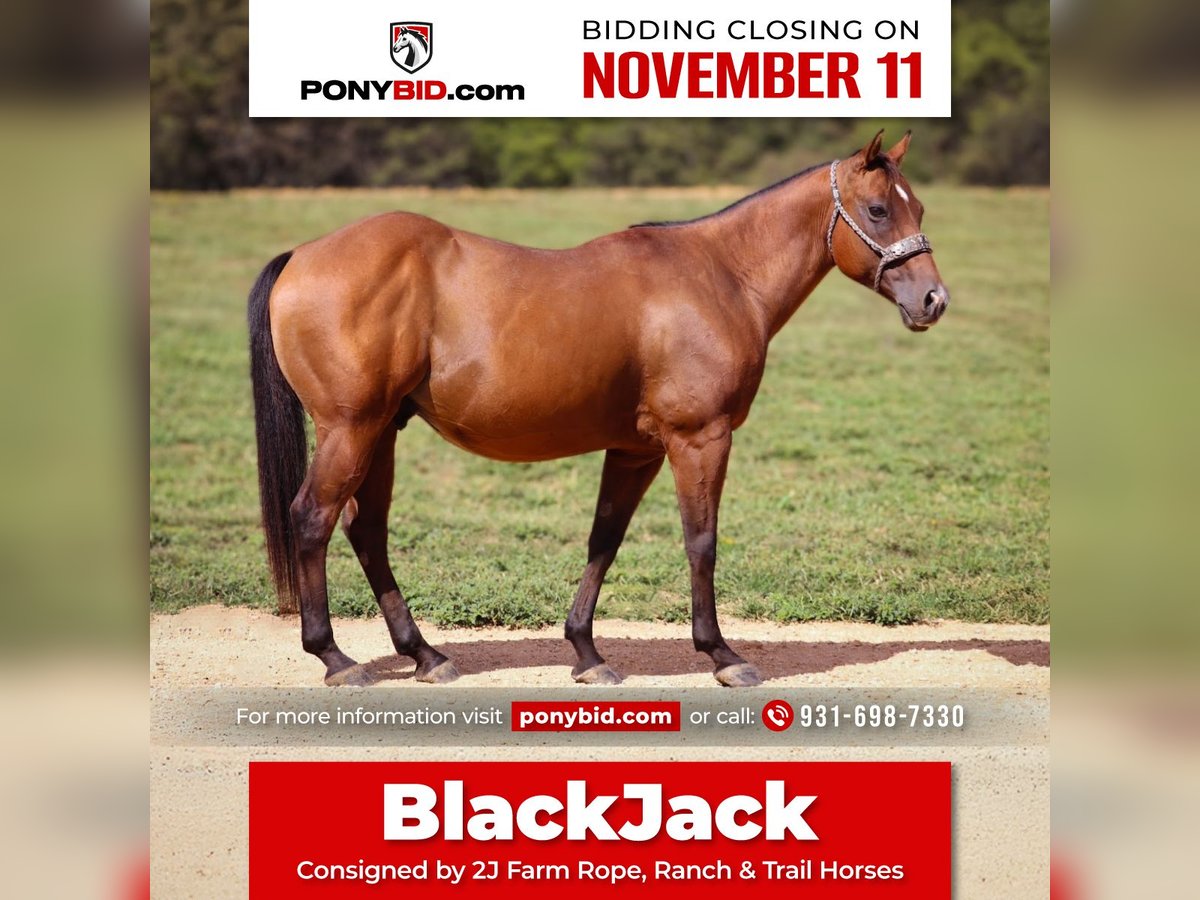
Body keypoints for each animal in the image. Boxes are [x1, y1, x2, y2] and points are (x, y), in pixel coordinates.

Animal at [247, 130, 949, 688]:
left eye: (917, 206)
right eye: (878, 209)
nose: (934, 300)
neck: (720, 276)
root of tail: (302, 255)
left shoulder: (635, 450)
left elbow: (603, 539)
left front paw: (586, 652)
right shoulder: (700, 439)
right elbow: (701, 542)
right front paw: (721, 655)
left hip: (382, 432)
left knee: (366, 531)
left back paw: (425, 655)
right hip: (351, 429)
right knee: (311, 519)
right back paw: (336, 659)